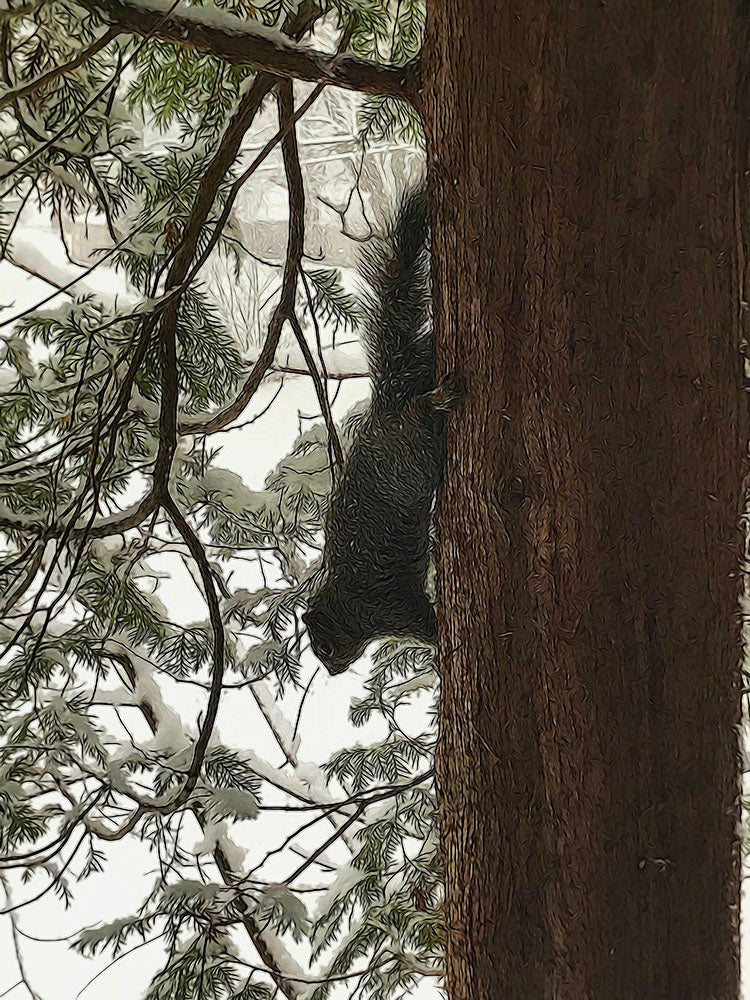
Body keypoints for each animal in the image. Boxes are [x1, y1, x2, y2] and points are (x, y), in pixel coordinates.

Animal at [302, 184, 462, 676]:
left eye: (324, 646)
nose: (333, 670)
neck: (348, 600)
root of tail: (385, 409)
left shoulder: (389, 605)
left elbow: (423, 623)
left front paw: (439, 642)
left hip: (411, 445)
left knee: (421, 415)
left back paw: (439, 400)